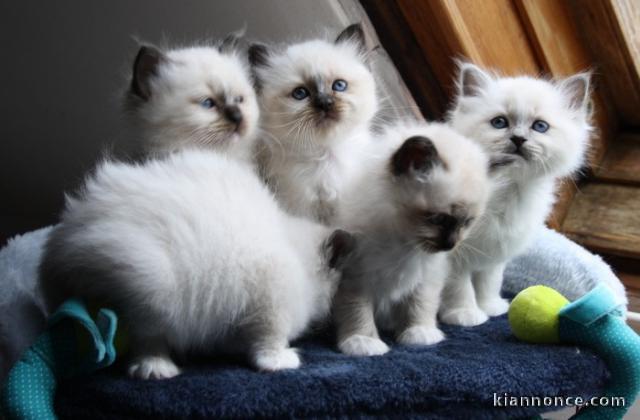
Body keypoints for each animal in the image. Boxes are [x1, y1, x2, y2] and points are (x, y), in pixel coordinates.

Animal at [38, 150, 356, 378]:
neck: (298, 257)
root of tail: (63, 242)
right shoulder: (270, 304)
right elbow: (269, 341)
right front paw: (280, 362)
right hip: (151, 287)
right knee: (146, 341)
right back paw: (157, 369)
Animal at [336, 121, 490, 354]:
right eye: (438, 219)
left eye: (467, 222)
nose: (450, 245)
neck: (403, 245)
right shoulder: (355, 275)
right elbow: (358, 311)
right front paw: (363, 342)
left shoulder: (425, 276)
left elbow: (419, 305)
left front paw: (419, 334)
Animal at [440, 62, 596, 326]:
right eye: (499, 122)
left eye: (540, 126)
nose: (518, 139)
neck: (507, 191)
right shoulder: (452, 254)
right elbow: (459, 287)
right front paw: (466, 315)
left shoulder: (494, 254)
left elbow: (489, 283)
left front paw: (491, 307)